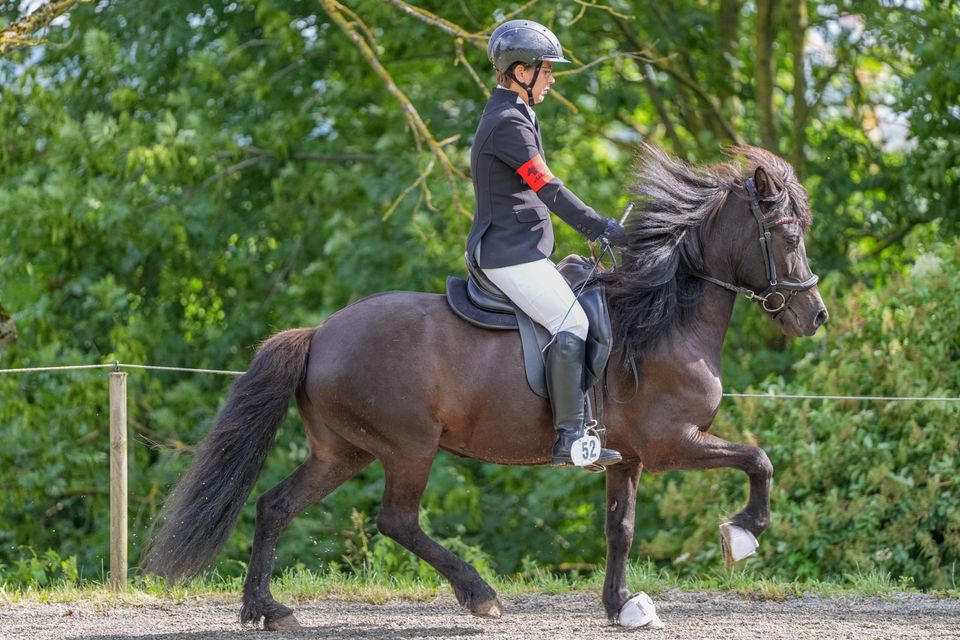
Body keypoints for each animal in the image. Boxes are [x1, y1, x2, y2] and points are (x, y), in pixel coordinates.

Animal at [141, 145, 824, 632]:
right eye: (789, 237)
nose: (813, 315)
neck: (661, 320)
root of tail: (319, 333)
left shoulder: (625, 457)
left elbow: (620, 529)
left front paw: (621, 605)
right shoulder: (671, 443)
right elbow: (758, 459)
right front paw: (744, 533)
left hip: (343, 451)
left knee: (275, 505)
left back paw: (266, 610)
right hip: (408, 448)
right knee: (396, 520)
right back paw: (480, 595)